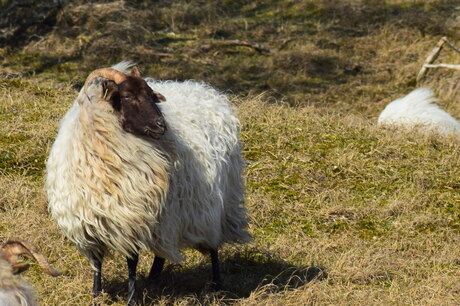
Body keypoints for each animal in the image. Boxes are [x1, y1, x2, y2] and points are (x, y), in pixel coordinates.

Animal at [45, 62, 252, 304]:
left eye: (152, 95)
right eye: (126, 95)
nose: (161, 125)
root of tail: (206, 92)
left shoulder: (133, 218)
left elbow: (131, 261)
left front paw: (132, 299)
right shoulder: (88, 220)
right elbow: (96, 261)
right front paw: (96, 295)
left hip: (214, 203)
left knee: (213, 243)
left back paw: (217, 286)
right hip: (168, 216)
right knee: (162, 249)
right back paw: (153, 278)